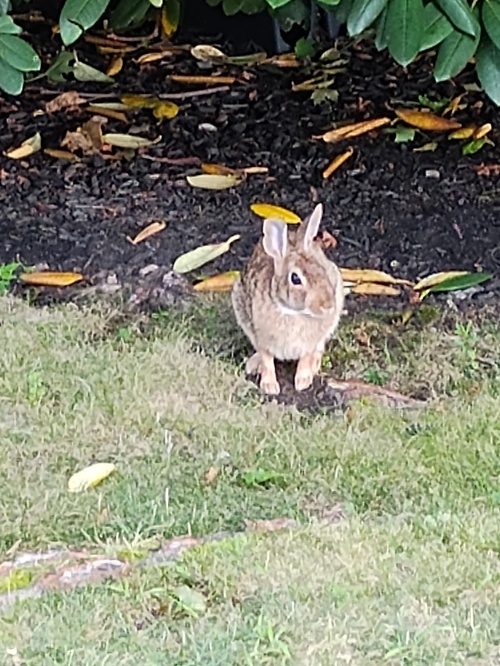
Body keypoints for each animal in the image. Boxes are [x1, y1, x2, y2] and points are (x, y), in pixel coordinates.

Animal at [232, 203, 344, 395]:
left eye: (322, 271)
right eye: (295, 279)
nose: (328, 306)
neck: (292, 312)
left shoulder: (309, 343)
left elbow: (305, 357)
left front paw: (302, 381)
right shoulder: (261, 337)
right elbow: (267, 359)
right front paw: (270, 386)